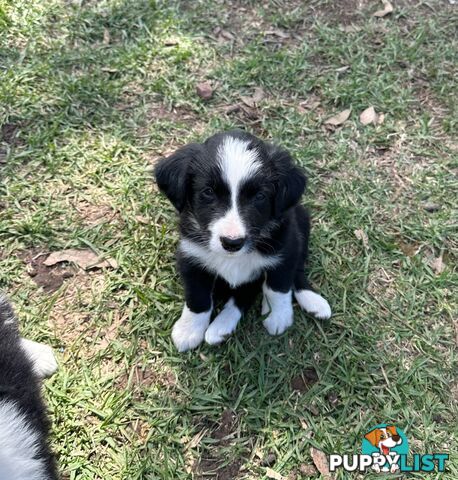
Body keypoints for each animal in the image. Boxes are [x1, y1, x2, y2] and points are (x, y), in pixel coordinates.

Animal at [156, 129, 330, 350]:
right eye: (208, 192)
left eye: (260, 196)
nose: (232, 243)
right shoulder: (191, 256)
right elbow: (197, 297)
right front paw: (189, 330)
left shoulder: (286, 250)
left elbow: (277, 287)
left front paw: (279, 316)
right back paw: (221, 327)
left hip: (301, 221)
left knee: (295, 272)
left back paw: (311, 300)